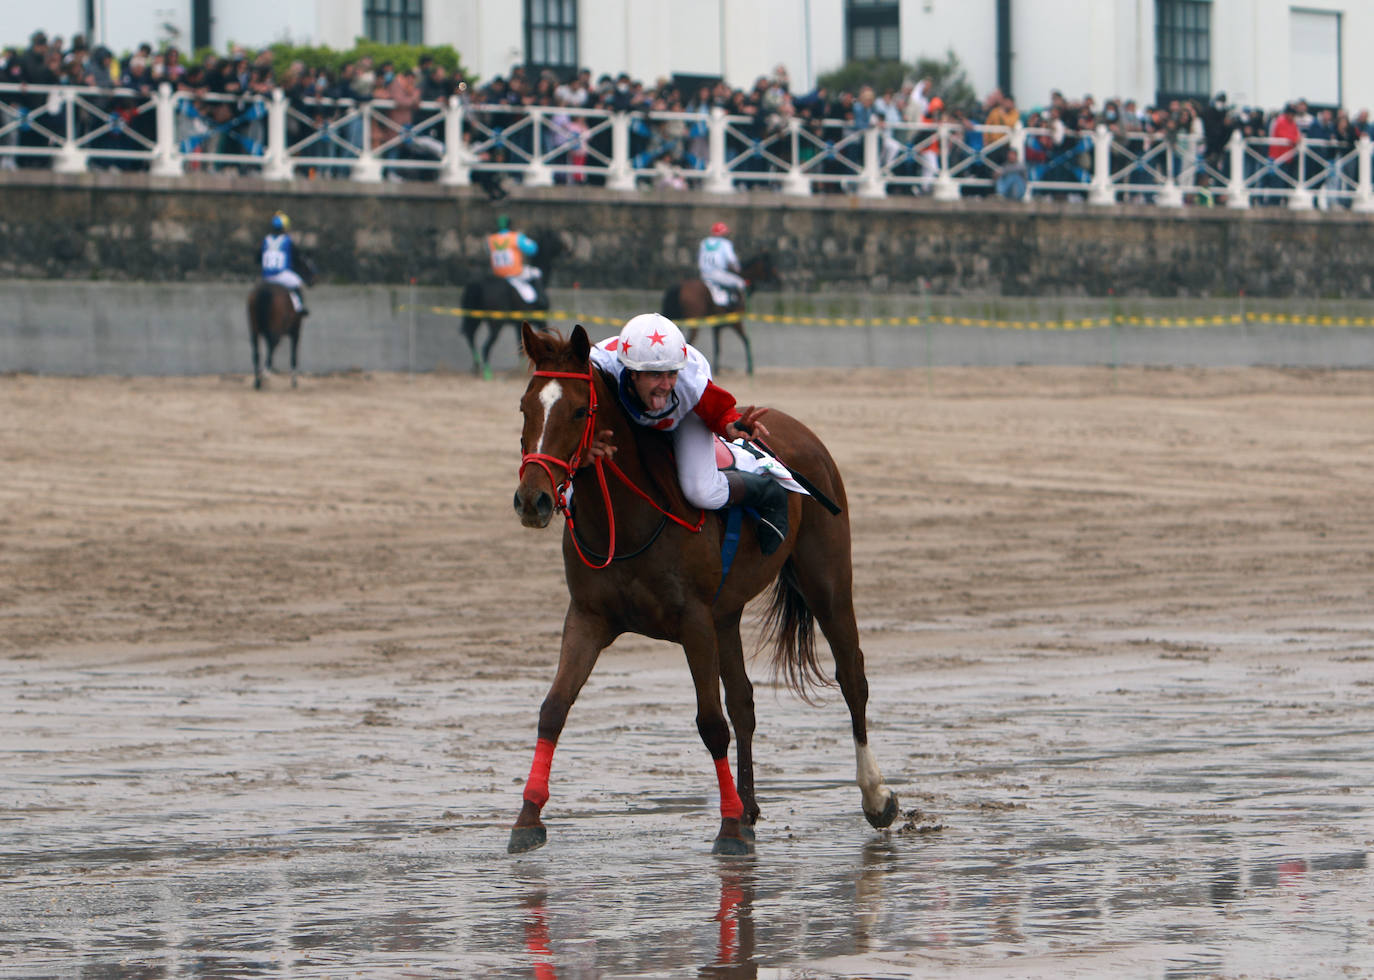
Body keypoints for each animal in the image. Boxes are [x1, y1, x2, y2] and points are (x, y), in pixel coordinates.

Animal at [248, 259, 317, 390]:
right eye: (307, 265)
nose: (314, 280)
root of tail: (265, 291)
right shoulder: (296, 332)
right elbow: (293, 356)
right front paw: (294, 382)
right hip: (277, 331)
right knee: (272, 345)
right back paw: (266, 374)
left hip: (254, 329)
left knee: (256, 353)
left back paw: (258, 382)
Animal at [461, 229, 568, 379]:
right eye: (557, 238)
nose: (568, 251)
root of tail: (478, 284)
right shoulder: (541, 320)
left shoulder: (519, 324)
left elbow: (522, 346)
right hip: (496, 324)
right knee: (485, 346)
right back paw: (487, 373)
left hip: (476, 318)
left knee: (470, 336)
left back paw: (476, 367)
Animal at [511, 323, 895, 857]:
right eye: (524, 408)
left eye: (578, 411)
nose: (533, 500)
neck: (626, 520)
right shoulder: (588, 616)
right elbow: (553, 709)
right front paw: (527, 819)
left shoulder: (693, 620)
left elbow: (711, 724)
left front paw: (728, 829)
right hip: (727, 614)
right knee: (744, 701)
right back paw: (750, 807)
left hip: (828, 580)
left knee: (852, 677)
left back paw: (875, 795)